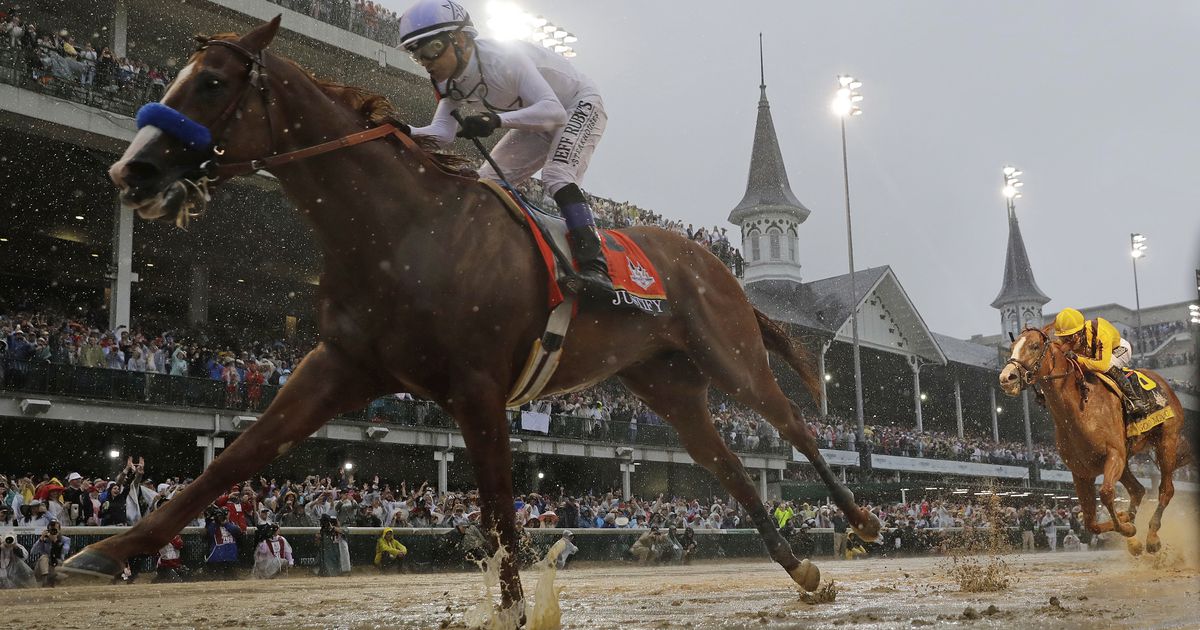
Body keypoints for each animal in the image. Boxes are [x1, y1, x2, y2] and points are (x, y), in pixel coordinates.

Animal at [60, 17, 878, 609]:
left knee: (795, 427)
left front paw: (514, 607)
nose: (131, 169)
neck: (400, 230)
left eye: (212, 82)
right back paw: (804, 571)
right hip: (668, 386)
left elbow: (499, 511)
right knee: (732, 470)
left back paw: (862, 518)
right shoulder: (341, 365)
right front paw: (104, 550)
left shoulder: (480, 389)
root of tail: (716, 263)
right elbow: (238, 456)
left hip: (730, 357)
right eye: (176, 75)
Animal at [1003, 326, 1190, 552]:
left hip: (1166, 441)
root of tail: (1166, 384)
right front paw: (1127, 525)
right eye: (1012, 347)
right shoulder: (1081, 471)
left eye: (1034, 346)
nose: (1006, 377)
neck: (1081, 408)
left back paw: (1152, 537)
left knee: (1165, 490)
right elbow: (1090, 523)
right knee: (1137, 490)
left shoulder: (1114, 455)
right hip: (1126, 461)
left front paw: (1128, 528)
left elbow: (1107, 493)